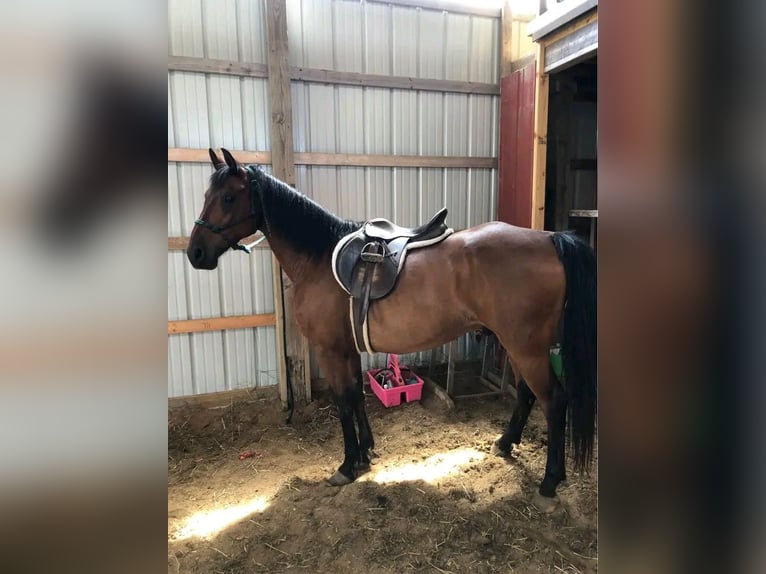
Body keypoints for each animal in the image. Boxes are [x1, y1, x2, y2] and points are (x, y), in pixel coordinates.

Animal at [189, 150, 596, 500]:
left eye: (228, 197)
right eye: (208, 194)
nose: (195, 253)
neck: (318, 257)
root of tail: (549, 239)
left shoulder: (329, 349)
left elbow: (342, 402)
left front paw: (346, 465)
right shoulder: (347, 348)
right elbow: (356, 395)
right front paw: (366, 453)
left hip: (525, 347)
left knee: (554, 400)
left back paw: (550, 481)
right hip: (517, 345)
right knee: (527, 394)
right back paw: (505, 444)